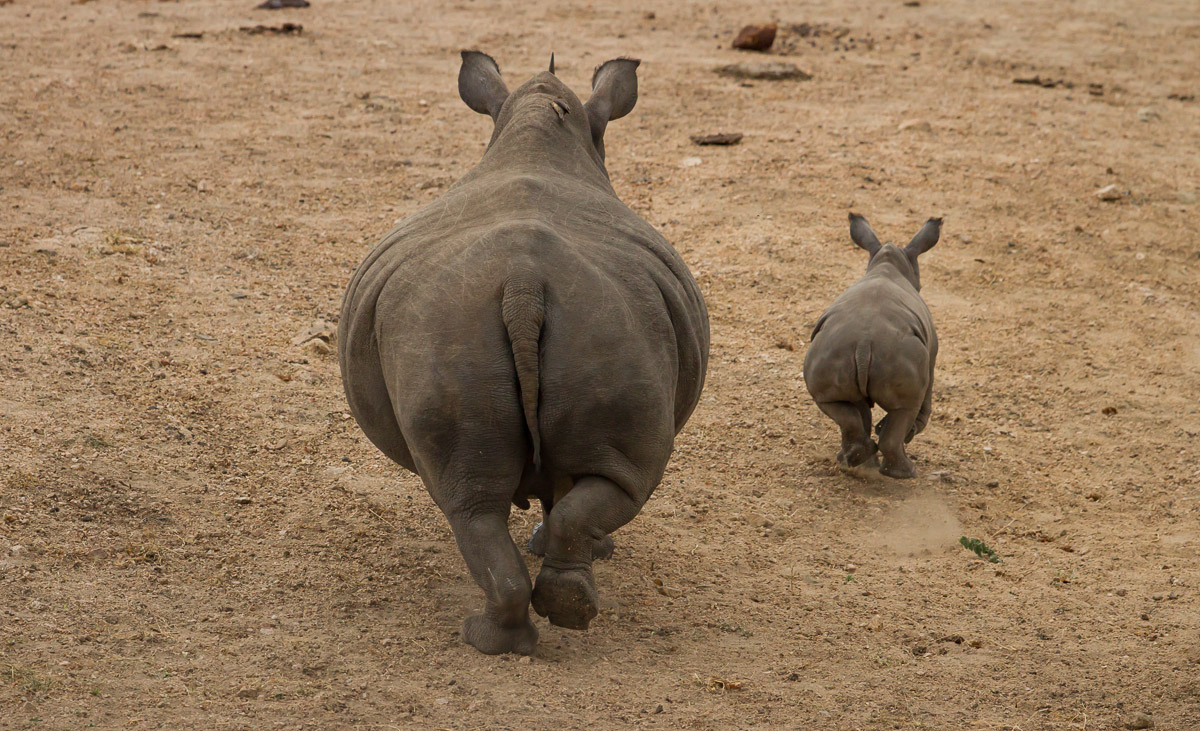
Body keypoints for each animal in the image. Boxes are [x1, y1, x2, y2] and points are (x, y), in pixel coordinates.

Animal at [337, 52, 709, 655]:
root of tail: (523, 282)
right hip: (574, 325)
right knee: (556, 491)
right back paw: (546, 617)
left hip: (463, 332)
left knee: (474, 503)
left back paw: (508, 632)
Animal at [802, 214, 942, 478]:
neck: (888, 264)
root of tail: (864, 345)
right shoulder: (931, 354)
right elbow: (923, 403)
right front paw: (908, 433)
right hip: (901, 356)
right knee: (906, 407)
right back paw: (904, 472)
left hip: (831, 353)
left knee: (836, 404)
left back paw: (855, 460)